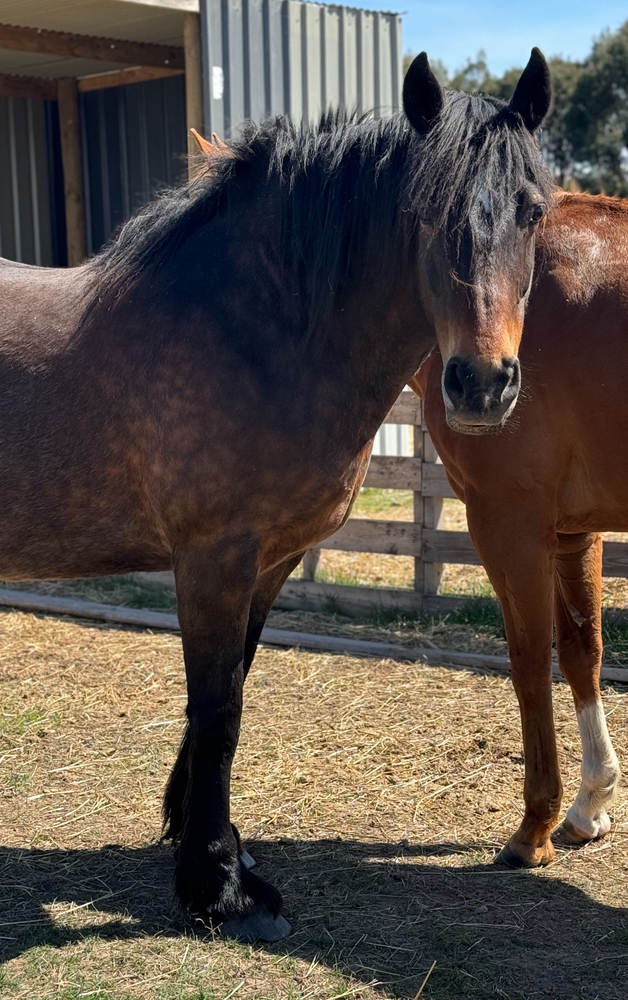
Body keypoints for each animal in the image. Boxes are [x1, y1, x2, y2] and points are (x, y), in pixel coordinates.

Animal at [0, 51, 552, 940]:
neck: (258, 330)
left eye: (535, 213)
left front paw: (216, 846)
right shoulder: (213, 559)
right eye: (423, 214)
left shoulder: (269, 562)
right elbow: (218, 706)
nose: (481, 384)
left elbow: (233, 688)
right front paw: (216, 886)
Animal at [411, 190, 628, 872]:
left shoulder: (508, 522)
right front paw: (589, 805)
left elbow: (529, 660)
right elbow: (583, 652)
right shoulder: (571, 532)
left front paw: (535, 827)